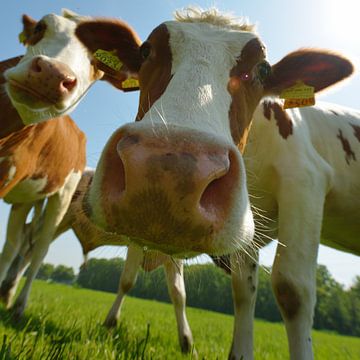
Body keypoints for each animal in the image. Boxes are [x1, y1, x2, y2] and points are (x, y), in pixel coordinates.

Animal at [0, 8, 109, 318]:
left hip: (62, 196)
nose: (52, 74)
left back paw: (19, 305)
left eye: (98, 62)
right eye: (40, 27)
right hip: (26, 197)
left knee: (39, 249)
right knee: (14, 244)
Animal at [0, 169, 194, 354]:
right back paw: (11, 295)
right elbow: (127, 282)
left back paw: (9, 293)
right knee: (29, 245)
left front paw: (186, 341)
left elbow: (179, 294)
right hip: (58, 218)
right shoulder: (135, 243)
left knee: (29, 248)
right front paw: (111, 322)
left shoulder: (175, 258)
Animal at [75, 7, 354, 360]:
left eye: (262, 69)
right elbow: (243, 289)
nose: (167, 171)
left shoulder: (306, 181)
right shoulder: (248, 220)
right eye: (146, 51)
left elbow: (293, 289)